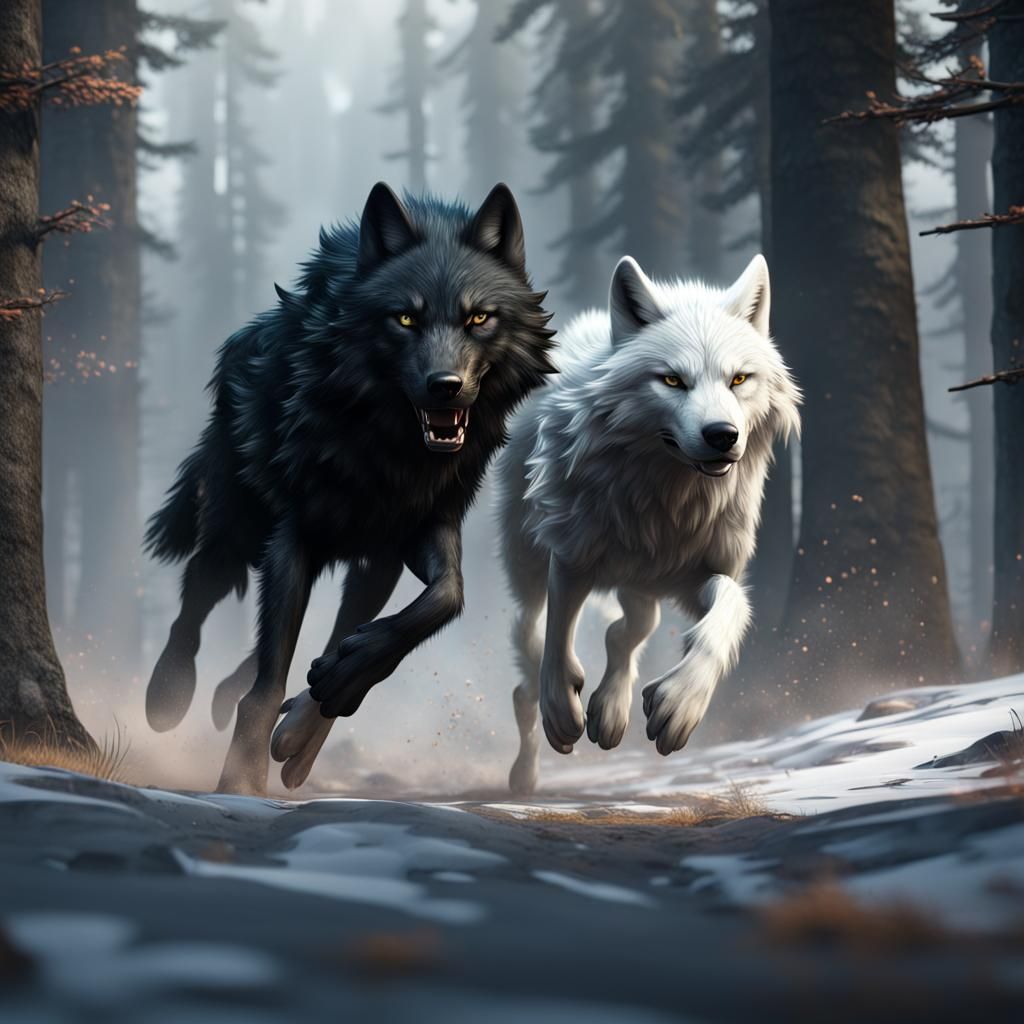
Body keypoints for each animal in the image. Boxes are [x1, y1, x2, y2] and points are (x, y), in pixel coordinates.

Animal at [145, 182, 555, 795]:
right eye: (404, 318)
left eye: (479, 317)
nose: (445, 386)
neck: (385, 449)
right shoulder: (295, 536)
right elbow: (267, 680)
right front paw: (242, 781)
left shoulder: (411, 535)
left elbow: (441, 599)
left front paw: (315, 714)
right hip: (238, 525)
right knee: (199, 591)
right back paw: (167, 694)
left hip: (368, 565)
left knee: (326, 627)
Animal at [496, 253, 800, 794]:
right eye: (672, 380)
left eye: (739, 380)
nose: (722, 435)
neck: (668, 503)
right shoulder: (572, 553)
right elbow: (558, 640)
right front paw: (563, 709)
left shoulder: (704, 572)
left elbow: (730, 610)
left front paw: (680, 704)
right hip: (526, 564)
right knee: (527, 661)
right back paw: (527, 771)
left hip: (642, 583)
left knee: (631, 627)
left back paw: (609, 711)